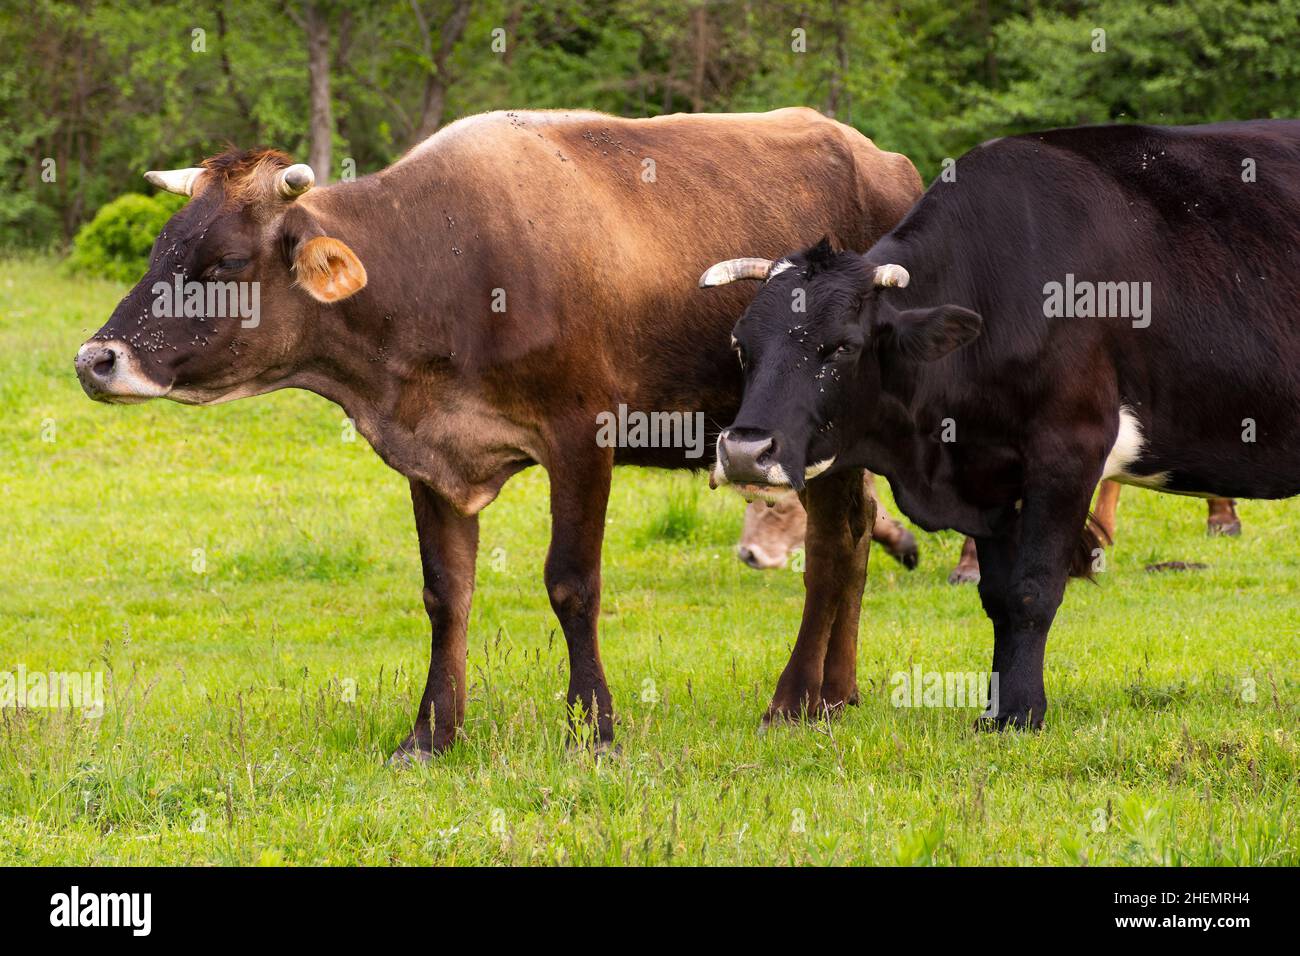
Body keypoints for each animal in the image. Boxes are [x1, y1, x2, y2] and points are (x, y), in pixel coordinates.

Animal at [74, 108, 922, 760]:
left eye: (224, 262)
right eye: (160, 248)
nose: (95, 358)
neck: (443, 266)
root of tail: (886, 160)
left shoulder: (583, 435)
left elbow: (572, 582)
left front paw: (593, 728)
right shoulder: (429, 455)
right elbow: (445, 592)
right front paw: (430, 735)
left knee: (830, 551)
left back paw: (791, 701)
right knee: (847, 542)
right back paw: (836, 695)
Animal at [705, 120, 1300, 729]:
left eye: (844, 346)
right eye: (741, 345)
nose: (746, 451)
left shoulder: (1070, 450)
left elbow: (1031, 591)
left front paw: (1020, 714)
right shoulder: (986, 473)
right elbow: (996, 596)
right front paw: (995, 710)